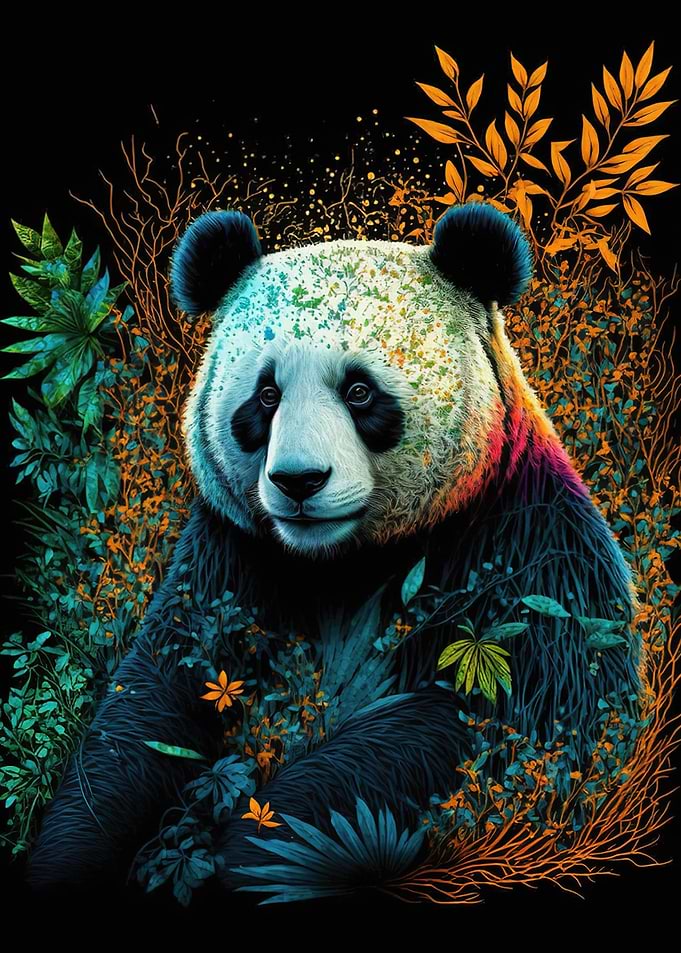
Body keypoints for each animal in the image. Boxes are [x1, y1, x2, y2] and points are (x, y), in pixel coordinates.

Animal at [27, 203, 643, 899]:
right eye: (266, 396)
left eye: (360, 391)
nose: (299, 480)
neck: (345, 561)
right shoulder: (232, 555)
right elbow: (153, 708)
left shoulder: (526, 547)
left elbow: (504, 721)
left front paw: (256, 849)